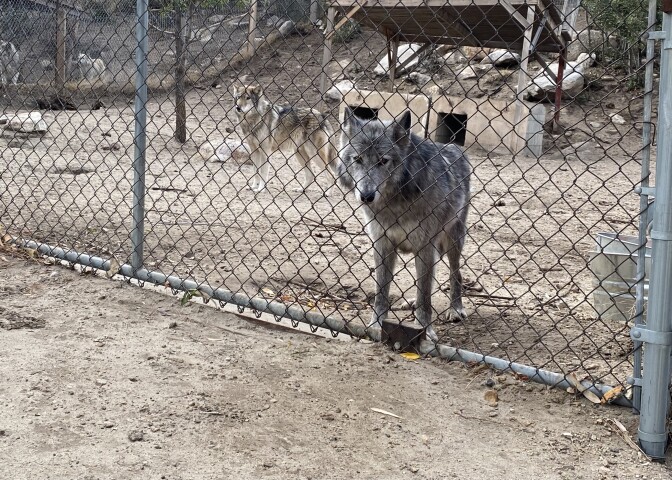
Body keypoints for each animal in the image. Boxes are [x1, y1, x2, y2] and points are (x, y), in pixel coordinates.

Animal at [337, 108, 471, 342]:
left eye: (383, 161)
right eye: (358, 159)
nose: (366, 196)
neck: (395, 204)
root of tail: (454, 146)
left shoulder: (425, 248)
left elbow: (425, 297)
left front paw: (425, 331)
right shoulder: (382, 244)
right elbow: (382, 292)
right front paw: (375, 325)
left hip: (453, 241)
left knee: (456, 274)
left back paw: (456, 309)